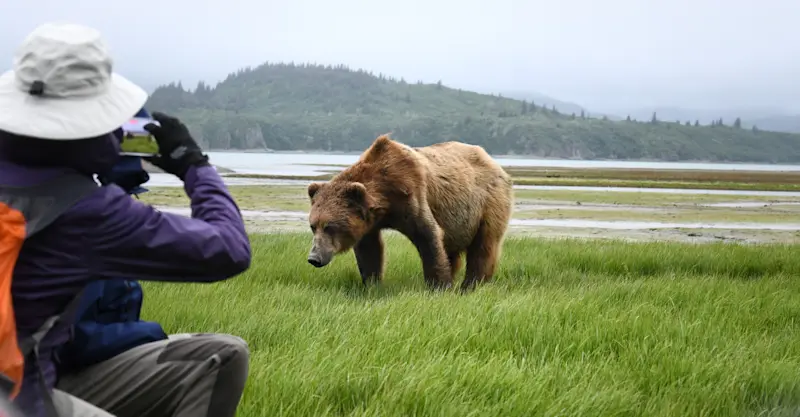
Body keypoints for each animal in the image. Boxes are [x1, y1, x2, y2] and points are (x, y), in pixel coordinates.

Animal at [305, 134, 514, 292]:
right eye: (313, 226)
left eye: (330, 226)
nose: (314, 258)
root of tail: (493, 161)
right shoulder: (370, 221)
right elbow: (369, 250)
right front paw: (372, 284)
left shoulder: (412, 194)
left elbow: (428, 236)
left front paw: (439, 287)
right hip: (456, 220)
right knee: (452, 250)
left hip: (488, 203)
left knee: (484, 246)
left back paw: (471, 285)